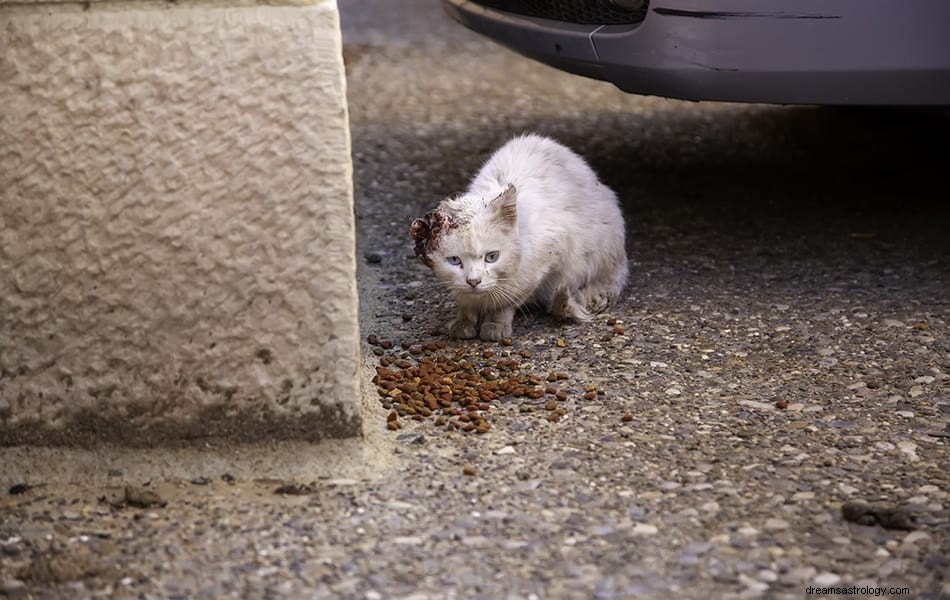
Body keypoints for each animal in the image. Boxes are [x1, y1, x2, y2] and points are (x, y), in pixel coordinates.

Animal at [408, 133, 624, 340]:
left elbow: (507, 300)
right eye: (454, 260)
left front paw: (495, 325)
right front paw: (463, 323)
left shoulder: (546, 260)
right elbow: (465, 303)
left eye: (492, 257)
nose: (473, 281)